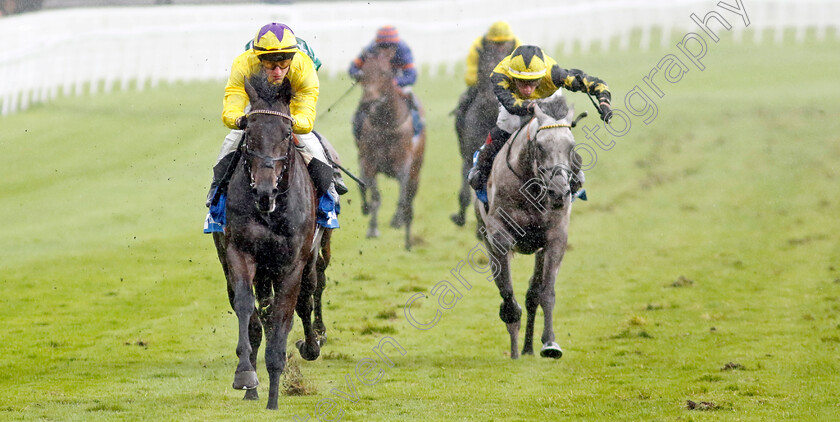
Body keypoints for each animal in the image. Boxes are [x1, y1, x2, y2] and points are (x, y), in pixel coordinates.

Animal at [210, 75, 324, 408]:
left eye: (287, 133)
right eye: (248, 130)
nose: (264, 191)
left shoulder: (292, 263)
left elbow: (286, 312)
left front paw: (274, 393)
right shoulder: (239, 252)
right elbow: (247, 308)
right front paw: (246, 375)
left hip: (310, 261)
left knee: (306, 298)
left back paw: (311, 346)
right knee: (258, 311)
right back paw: (253, 388)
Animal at [352, 46, 424, 251]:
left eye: (385, 73)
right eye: (363, 73)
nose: (368, 102)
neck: (386, 124)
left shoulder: (404, 163)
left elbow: (402, 193)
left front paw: (397, 220)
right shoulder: (369, 162)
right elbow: (375, 195)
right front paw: (372, 229)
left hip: (417, 170)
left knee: (410, 195)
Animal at [472, 95, 584, 360]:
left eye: (571, 147)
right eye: (540, 146)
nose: (558, 192)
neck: (532, 189)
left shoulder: (555, 237)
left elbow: (546, 292)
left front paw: (550, 343)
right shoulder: (498, 234)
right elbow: (506, 289)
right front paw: (511, 316)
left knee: (533, 293)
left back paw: (528, 348)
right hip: (486, 238)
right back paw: (515, 349)